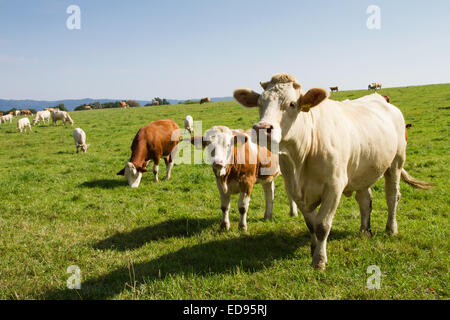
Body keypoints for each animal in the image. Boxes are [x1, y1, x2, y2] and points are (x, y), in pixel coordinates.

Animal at [234, 73, 430, 270]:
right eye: (260, 103)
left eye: (292, 104)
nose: (261, 129)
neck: (301, 158)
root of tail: (381, 99)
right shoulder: (295, 190)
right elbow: (311, 224)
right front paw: (313, 250)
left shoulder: (334, 187)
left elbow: (322, 225)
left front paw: (319, 260)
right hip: (363, 170)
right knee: (365, 200)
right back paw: (364, 231)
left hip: (396, 162)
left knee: (392, 196)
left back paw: (391, 229)